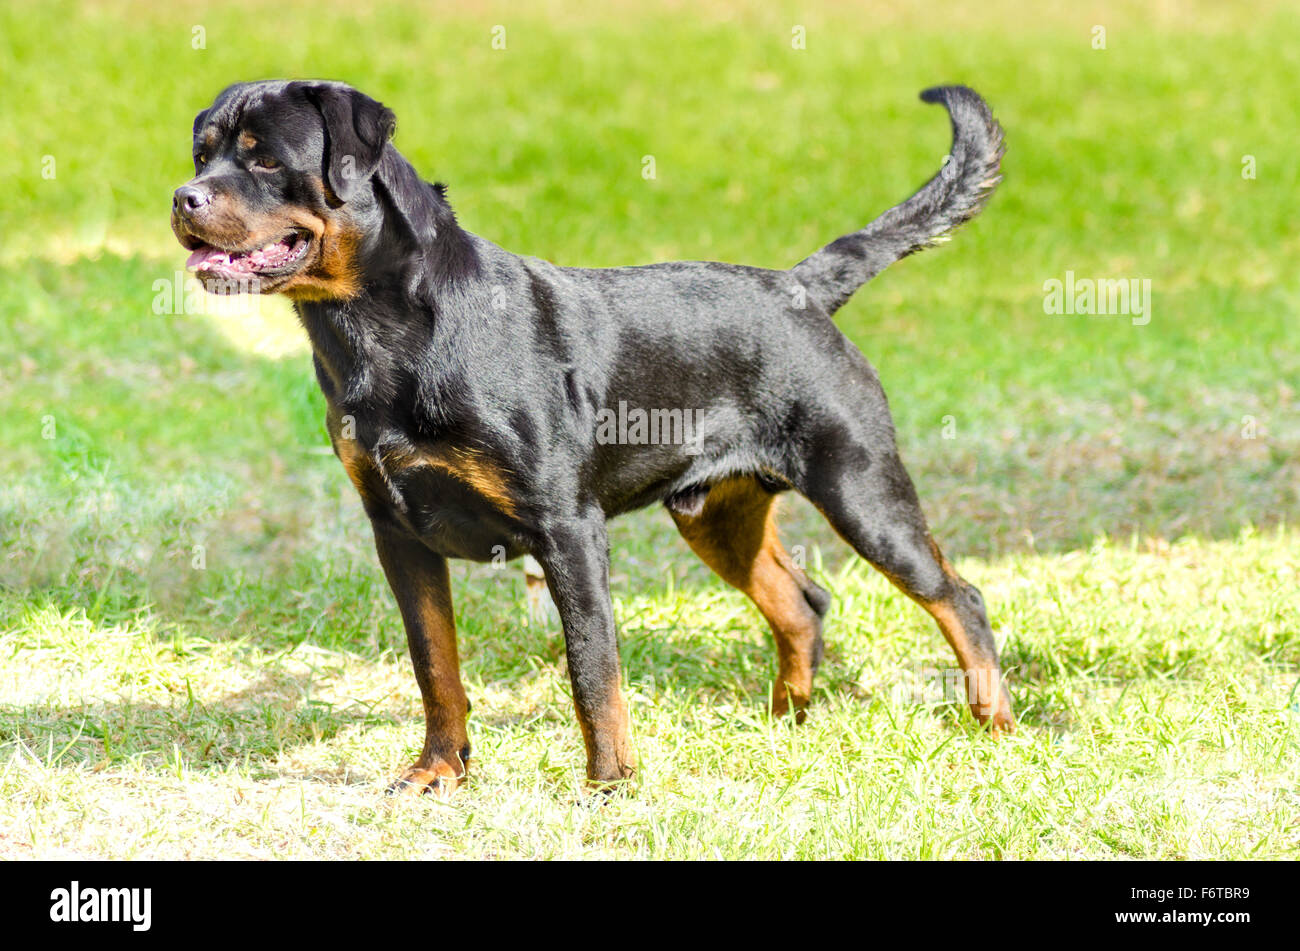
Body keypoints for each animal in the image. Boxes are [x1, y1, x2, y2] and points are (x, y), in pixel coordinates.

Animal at [170, 79, 1013, 795]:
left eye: (265, 158)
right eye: (202, 153)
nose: (184, 197)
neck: (383, 332)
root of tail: (800, 286)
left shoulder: (567, 528)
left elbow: (592, 668)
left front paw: (611, 782)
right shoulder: (397, 532)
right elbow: (435, 665)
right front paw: (439, 769)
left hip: (861, 487)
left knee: (958, 597)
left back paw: (994, 723)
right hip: (714, 513)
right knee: (803, 602)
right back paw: (784, 721)